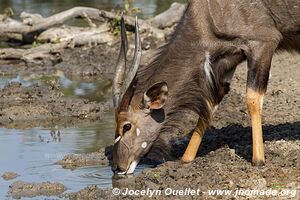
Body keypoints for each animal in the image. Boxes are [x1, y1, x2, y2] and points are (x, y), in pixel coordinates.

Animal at [110, 0, 300, 175]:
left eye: (127, 126)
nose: (117, 167)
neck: (206, 16)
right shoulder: (227, 62)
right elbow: (208, 108)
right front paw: (186, 159)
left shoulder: (263, 44)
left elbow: (252, 99)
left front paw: (258, 161)